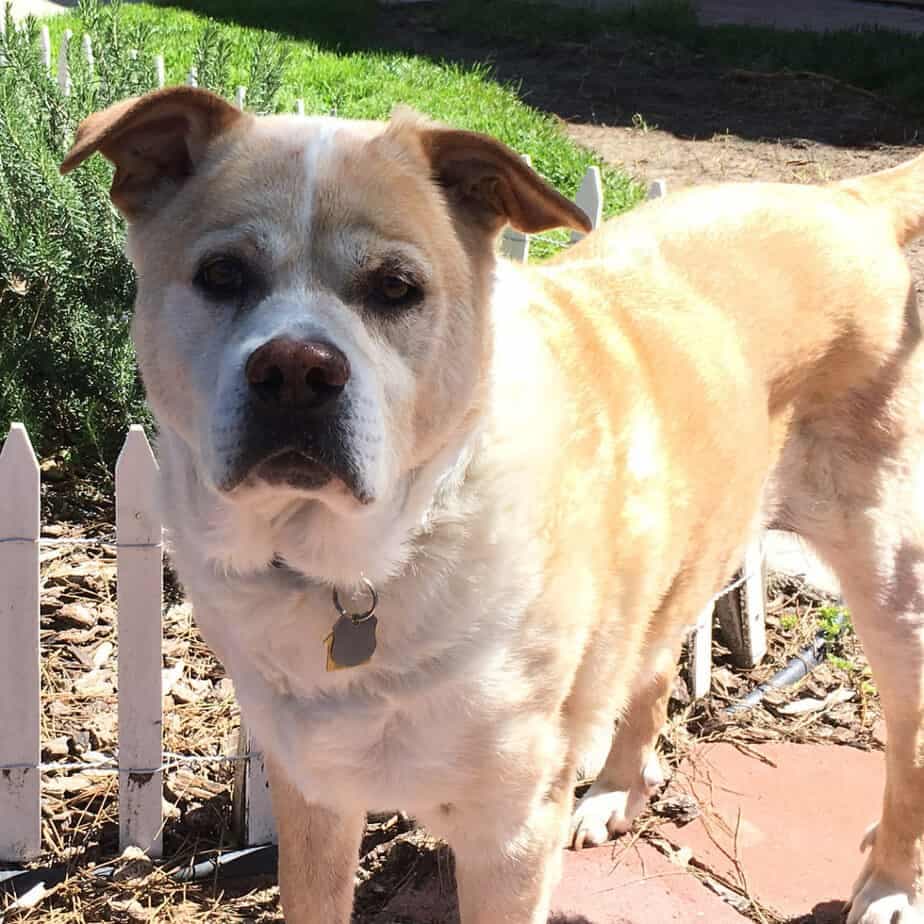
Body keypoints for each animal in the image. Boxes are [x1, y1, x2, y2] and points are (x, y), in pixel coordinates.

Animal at [61, 86, 924, 924]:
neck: (367, 563)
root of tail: (845, 202)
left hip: (891, 589)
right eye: (222, 274)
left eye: (396, 288)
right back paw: (616, 792)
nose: (297, 370)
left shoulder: (509, 836)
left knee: (907, 747)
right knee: (649, 668)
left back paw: (889, 886)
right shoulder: (312, 792)